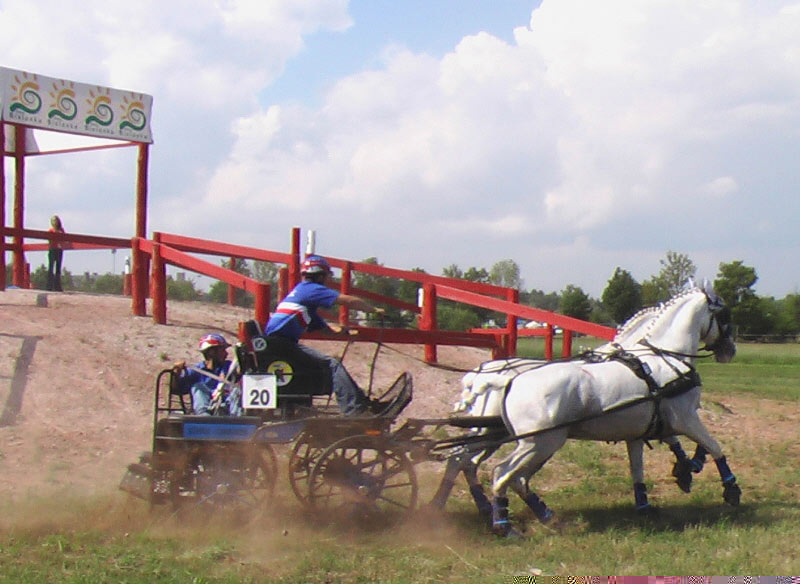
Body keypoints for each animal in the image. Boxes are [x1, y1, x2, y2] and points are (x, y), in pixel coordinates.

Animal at [428, 302, 707, 520]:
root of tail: (481, 375)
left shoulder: (641, 420)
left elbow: (664, 442)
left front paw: (684, 469)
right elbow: (673, 437)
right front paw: (689, 466)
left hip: (490, 433)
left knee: (465, 461)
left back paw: (472, 506)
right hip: (517, 436)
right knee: (471, 462)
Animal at [487, 283, 738, 536]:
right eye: (724, 315)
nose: (730, 350)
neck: (666, 359)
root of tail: (510, 383)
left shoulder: (641, 430)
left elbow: (639, 468)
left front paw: (650, 501)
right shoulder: (685, 419)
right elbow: (714, 446)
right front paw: (730, 489)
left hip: (540, 445)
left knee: (518, 479)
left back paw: (547, 517)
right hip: (539, 443)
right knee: (502, 473)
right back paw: (504, 526)